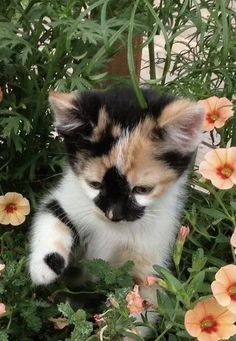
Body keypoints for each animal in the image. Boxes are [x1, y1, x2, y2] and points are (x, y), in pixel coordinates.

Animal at [29, 86, 203, 330]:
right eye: (94, 184)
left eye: (142, 189)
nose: (113, 214)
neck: (112, 230)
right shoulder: (69, 197)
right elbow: (52, 215)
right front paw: (43, 267)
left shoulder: (148, 261)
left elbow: (139, 309)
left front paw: (115, 329)